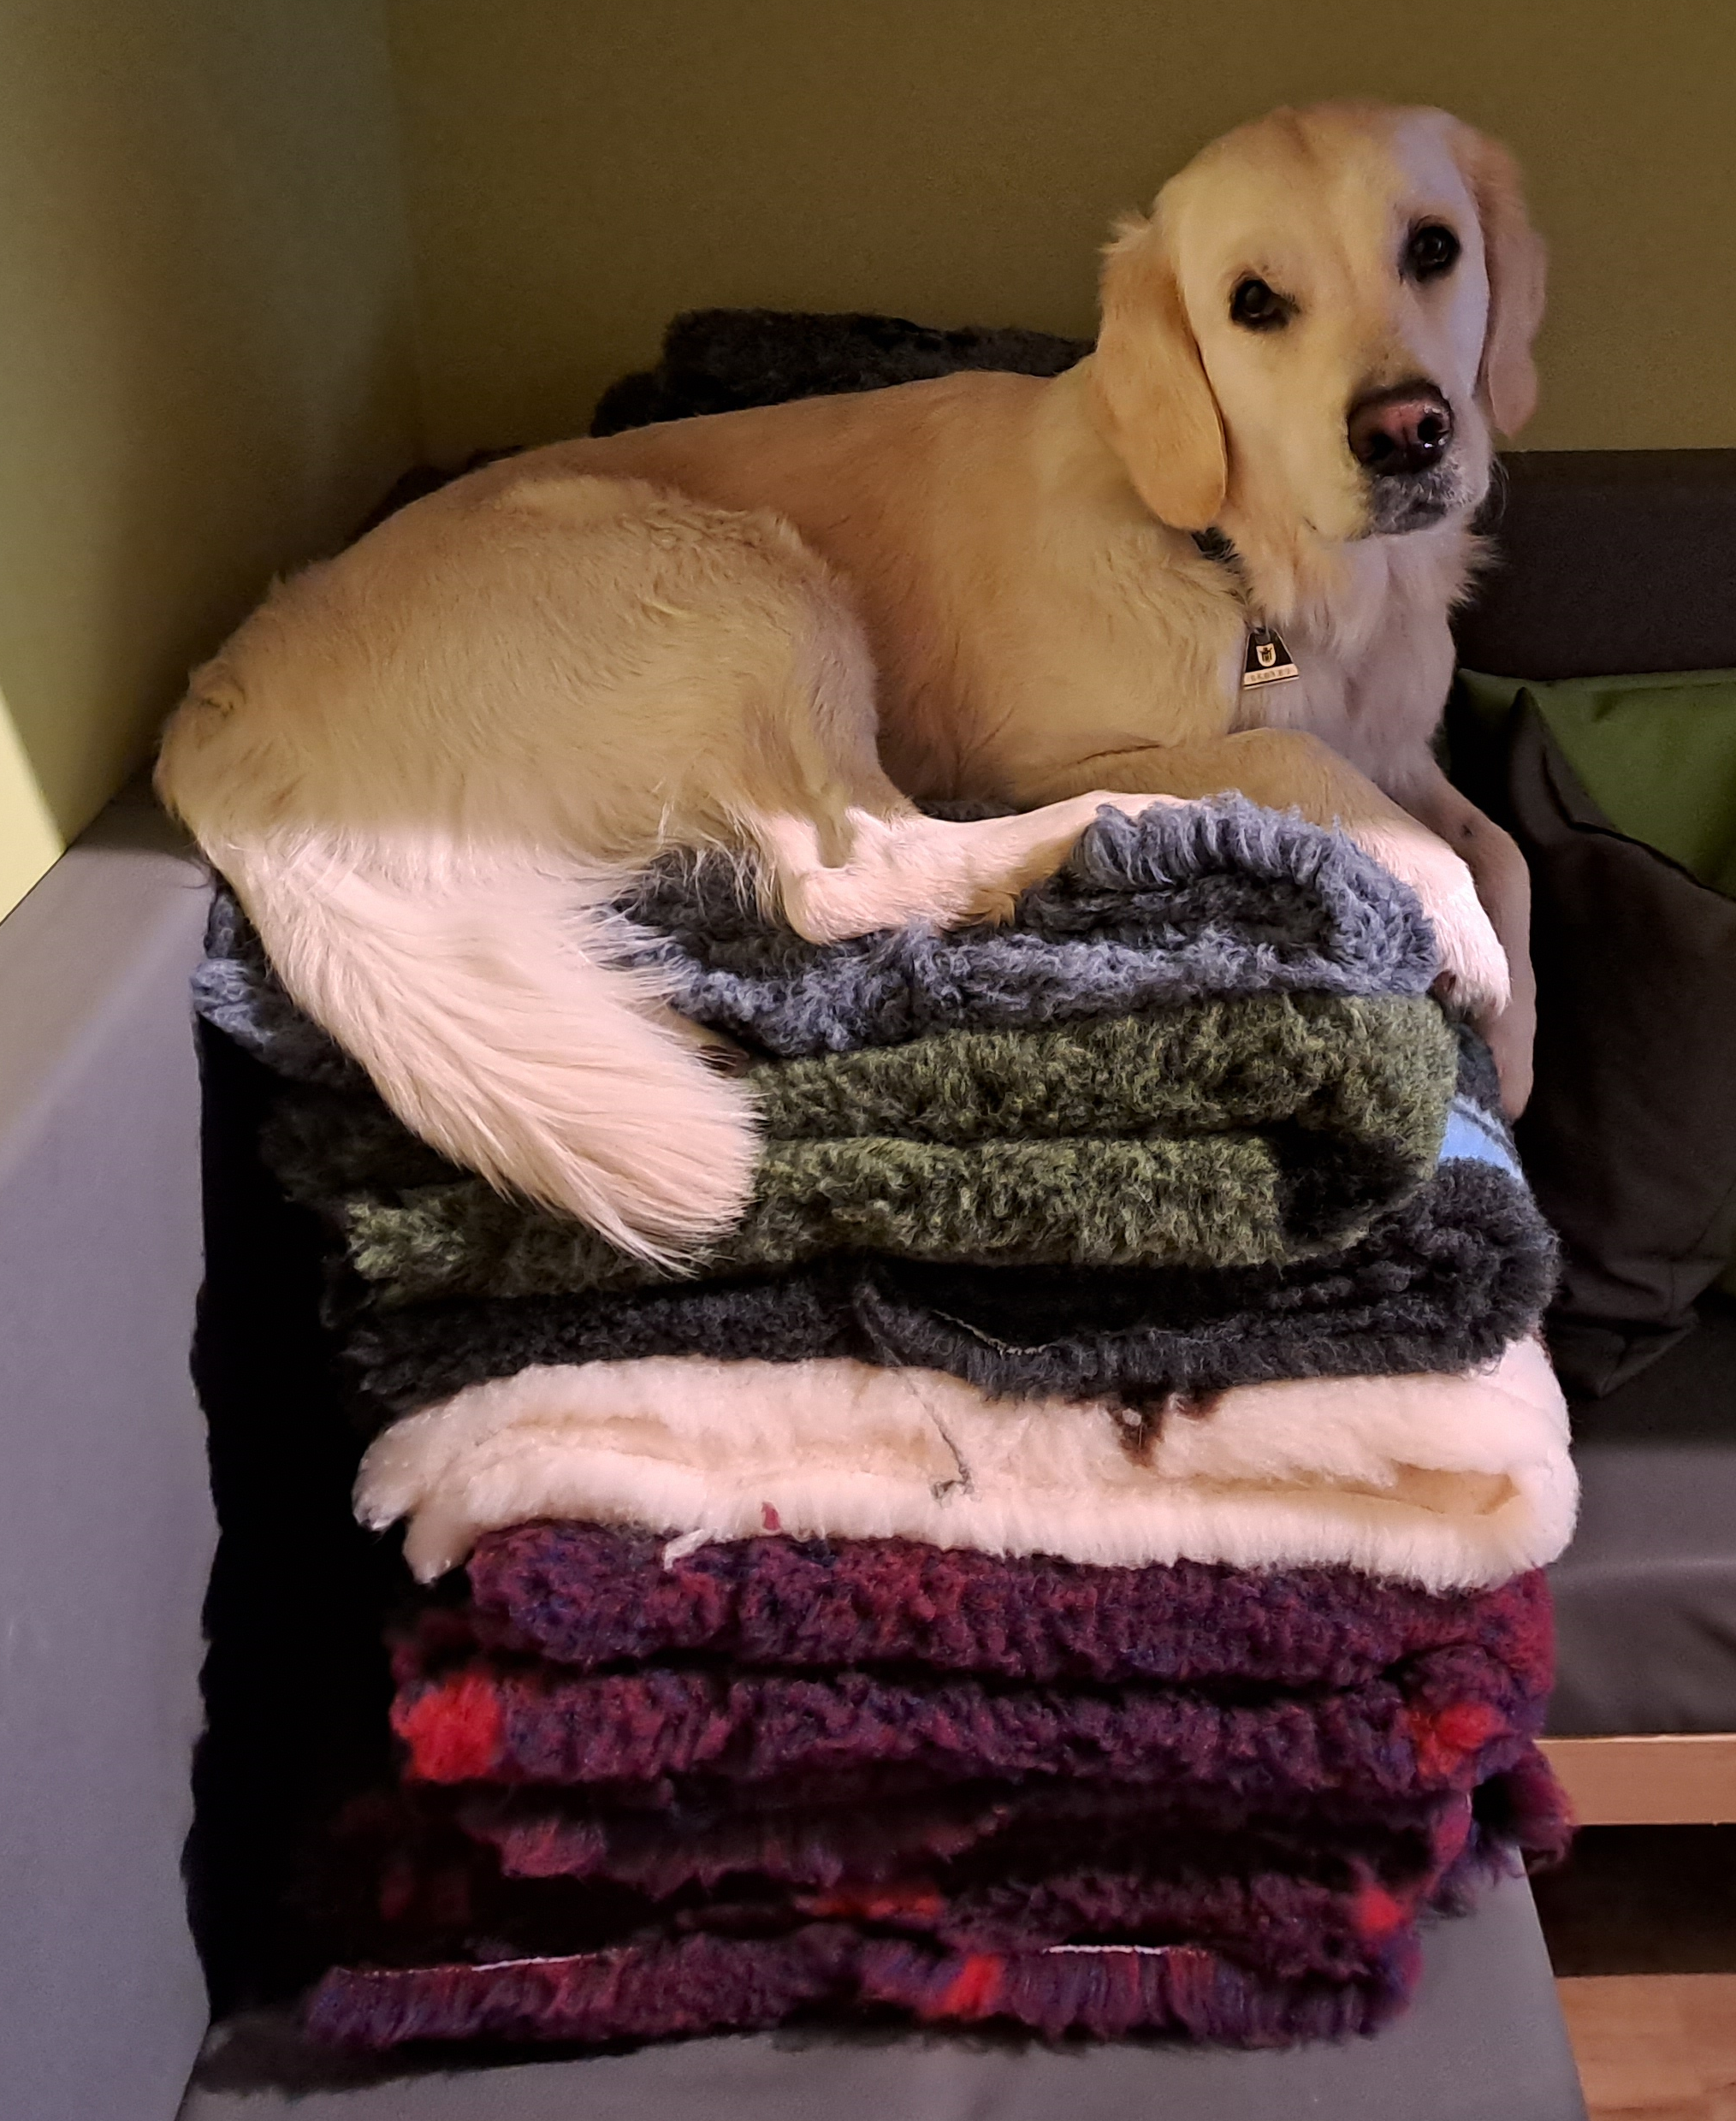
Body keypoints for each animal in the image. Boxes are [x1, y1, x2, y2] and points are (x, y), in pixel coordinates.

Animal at [156, 101, 1545, 1264]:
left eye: (1432, 248)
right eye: (1254, 302)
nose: (1407, 430)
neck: (1263, 564)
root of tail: (220, 704)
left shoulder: (1402, 745)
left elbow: (1504, 844)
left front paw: (1521, 1038)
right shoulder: (1057, 741)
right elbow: (1300, 758)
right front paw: (1455, 930)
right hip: (743, 580)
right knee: (847, 876)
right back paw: (1133, 828)